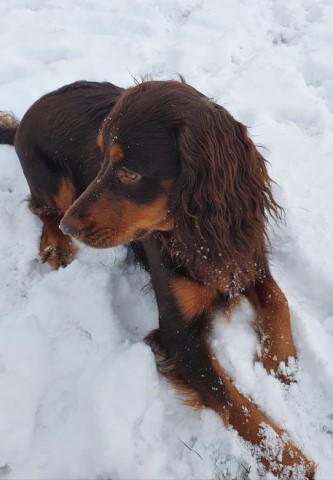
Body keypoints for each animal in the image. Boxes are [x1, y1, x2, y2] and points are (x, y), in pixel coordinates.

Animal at [0, 79, 314, 476]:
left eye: (130, 173)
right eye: (102, 158)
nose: (71, 227)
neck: (197, 234)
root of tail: (26, 115)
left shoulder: (243, 257)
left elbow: (278, 298)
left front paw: (282, 362)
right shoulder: (178, 336)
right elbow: (233, 401)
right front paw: (287, 457)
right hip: (54, 184)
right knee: (42, 207)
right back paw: (54, 242)